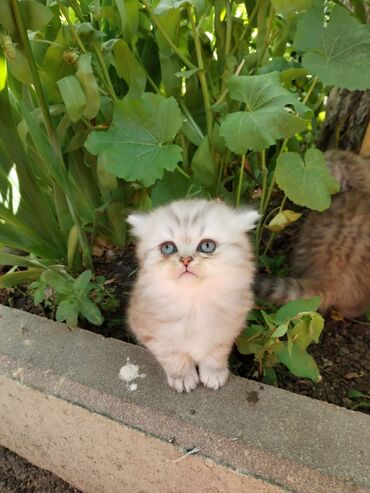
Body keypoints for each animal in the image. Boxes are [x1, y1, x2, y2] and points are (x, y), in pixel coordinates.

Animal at [127, 198, 258, 390]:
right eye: (168, 248)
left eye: (207, 245)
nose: (185, 260)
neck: (194, 303)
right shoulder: (155, 336)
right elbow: (174, 358)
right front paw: (183, 378)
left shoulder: (226, 333)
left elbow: (215, 356)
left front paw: (213, 375)